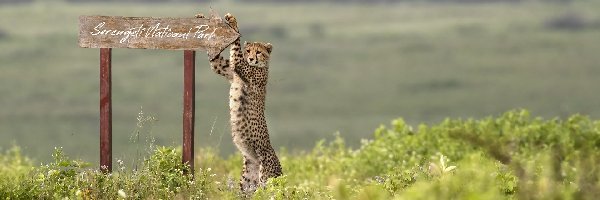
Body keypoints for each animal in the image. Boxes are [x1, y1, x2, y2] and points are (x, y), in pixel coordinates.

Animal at [197, 12, 282, 194]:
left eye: (258, 52)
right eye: (248, 50)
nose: (251, 58)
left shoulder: (241, 66)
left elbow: (235, 48)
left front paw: (233, 22)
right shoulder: (226, 69)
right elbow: (215, 59)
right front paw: (202, 18)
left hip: (265, 178)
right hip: (247, 180)